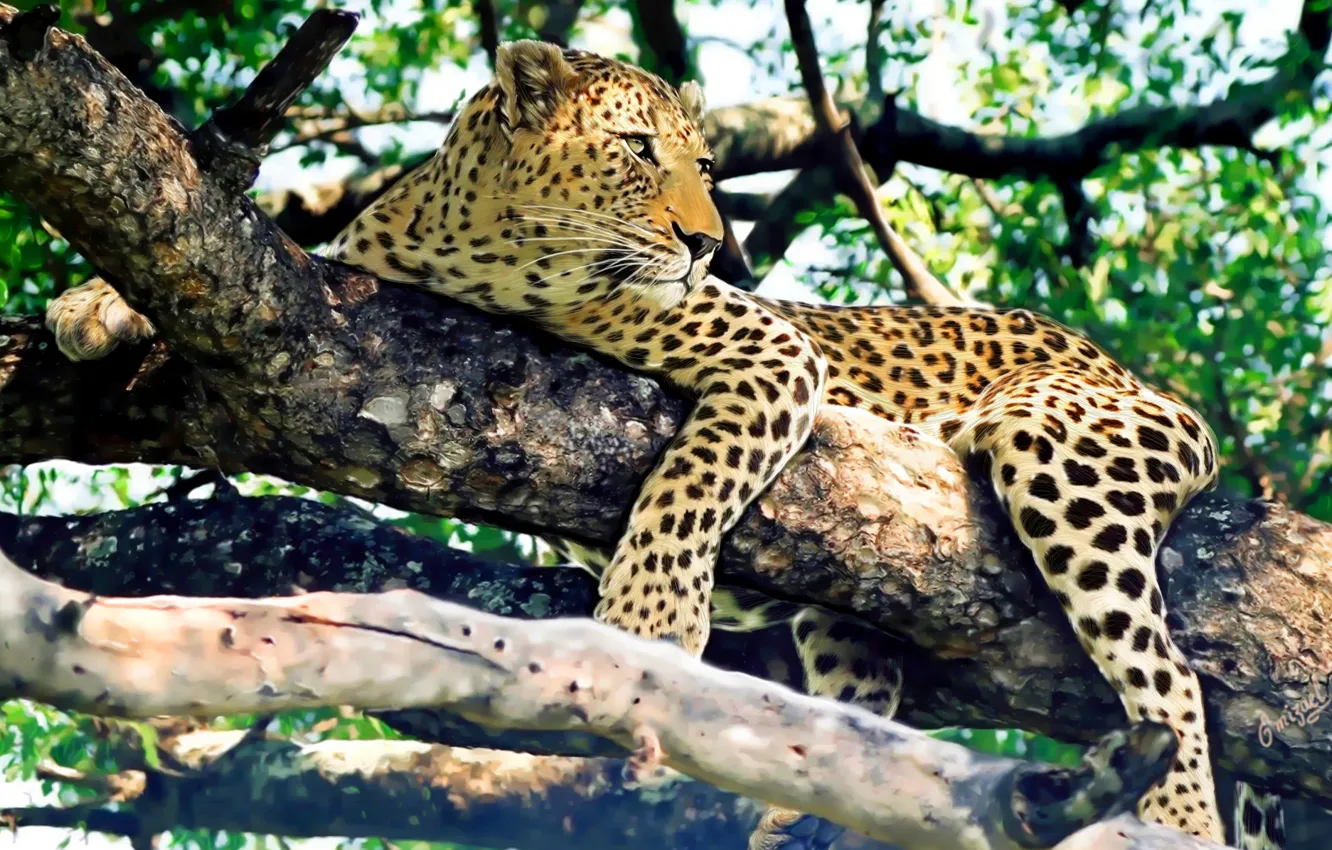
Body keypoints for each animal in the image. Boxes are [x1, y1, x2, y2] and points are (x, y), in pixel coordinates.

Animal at [45, 40, 1286, 850]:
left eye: (706, 164)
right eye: (639, 149)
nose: (706, 243)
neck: (486, 245)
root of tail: (1139, 377)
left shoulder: (773, 350)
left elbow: (694, 474)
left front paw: (644, 620)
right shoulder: (349, 262)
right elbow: (221, 239)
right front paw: (85, 304)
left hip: (1063, 444)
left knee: (1166, 673)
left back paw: (1175, 815)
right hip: (855, 622)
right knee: (868, 689)